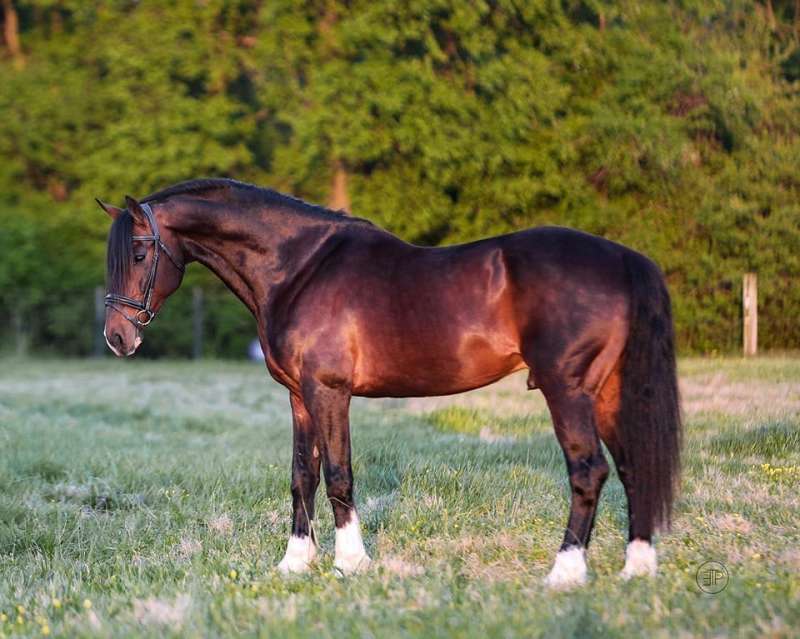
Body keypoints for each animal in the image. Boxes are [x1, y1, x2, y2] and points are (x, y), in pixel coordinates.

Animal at [98, 178, 681, 588]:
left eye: (140, 253)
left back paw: (565, 573)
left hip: (567, 390)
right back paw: (636, 569)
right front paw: (295, 563)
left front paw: (350, 563)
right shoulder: (298, 396)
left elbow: (338, 475)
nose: (117, 338)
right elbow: (301, 476)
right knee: (632, 467)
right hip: (607, 391)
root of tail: (622, 257)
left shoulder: (329, 392)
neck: (297, 267)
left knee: (588, 470)